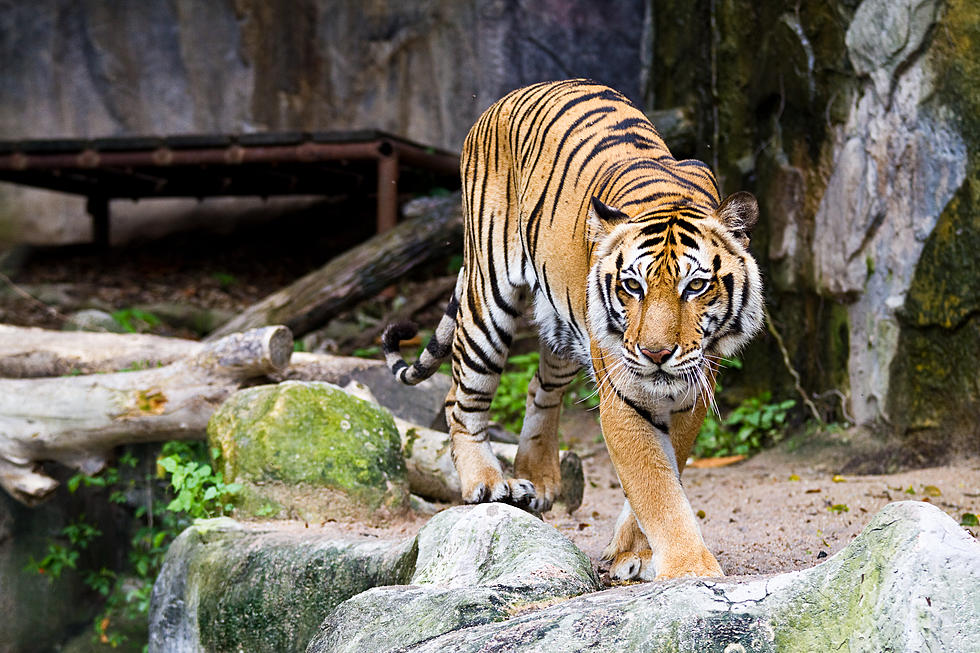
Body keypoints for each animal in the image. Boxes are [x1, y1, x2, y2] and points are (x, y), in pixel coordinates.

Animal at [382, 77, 764, 580]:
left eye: (696, 286)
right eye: (632, 286)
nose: (657, 354)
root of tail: (509, 97)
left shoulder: (692, 392)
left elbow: (667, 471)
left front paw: (635, 553)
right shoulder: (624, 396)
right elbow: (656, 486)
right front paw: (689, 570)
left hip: (563, 325)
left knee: (539, 389)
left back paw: (538, 479)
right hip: (489, 297)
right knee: (461, 398)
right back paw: (488, 483)